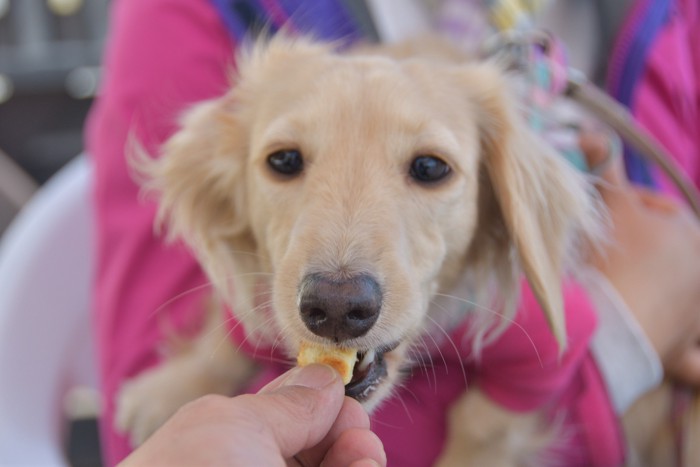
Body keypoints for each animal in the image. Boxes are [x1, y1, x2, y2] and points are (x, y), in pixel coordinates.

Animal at [115, 35, 688, 464]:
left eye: (431, 167)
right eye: (283, 160)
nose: (336, 308)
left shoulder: (551, 347)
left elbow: (481, 423)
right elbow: (230, 329)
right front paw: (173, 387)